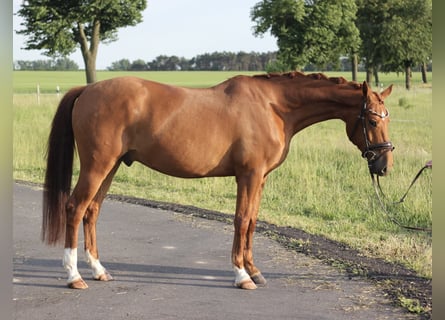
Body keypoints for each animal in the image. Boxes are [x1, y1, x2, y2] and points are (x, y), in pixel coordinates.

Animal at [42, 72, 392, 290]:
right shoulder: (248, 175)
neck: (273, 107)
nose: (383, 165)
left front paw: (255, 271)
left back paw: (99, 270)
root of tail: (87, 90)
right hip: (97, 165)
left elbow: (253, 221)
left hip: (111, 166)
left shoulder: (260, 179)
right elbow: (241, 220)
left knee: (92, 211)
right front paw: (241, 275)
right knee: (74, 208)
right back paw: (74, 276)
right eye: (373, 120)